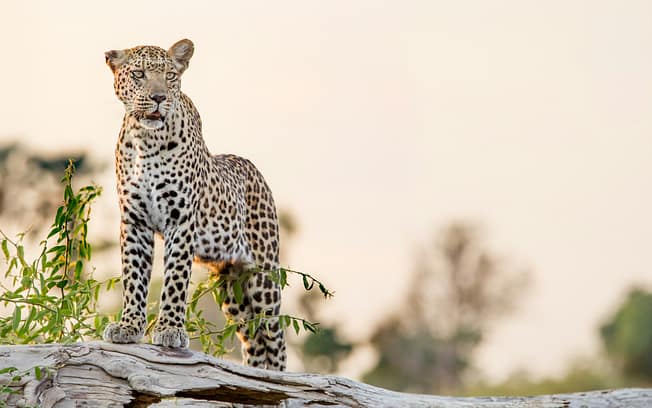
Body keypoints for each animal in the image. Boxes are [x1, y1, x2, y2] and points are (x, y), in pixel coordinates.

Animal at [102, 39, 286, 370]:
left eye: (170, 76)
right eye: (138, 74)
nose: (159, 98)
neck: (145, 141)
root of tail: (255, 171)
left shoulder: (181, 220)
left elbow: (175, 278)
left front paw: (170, 331)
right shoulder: (134, 222)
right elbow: (133, 277)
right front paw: (129, 327)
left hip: (263, 277)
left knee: (274, 337)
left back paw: (278, 377)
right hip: (231, 287)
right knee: (253, 339)